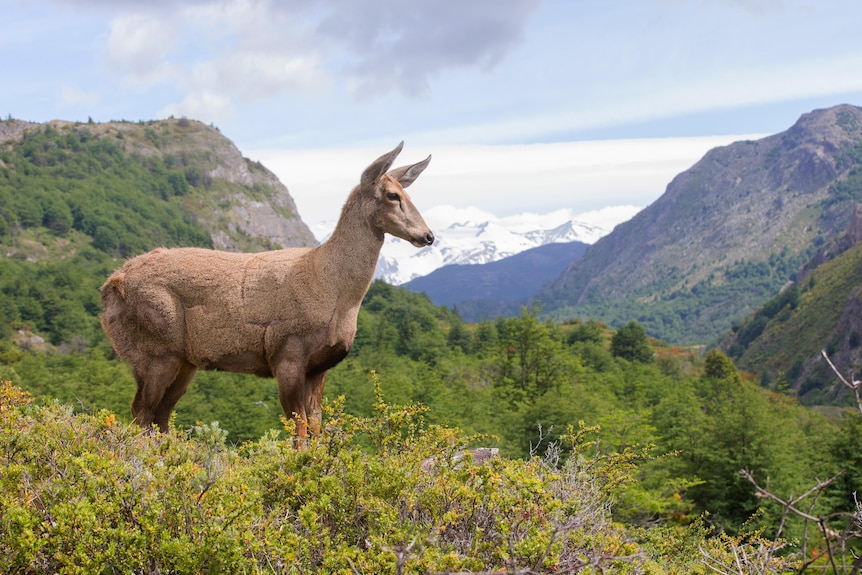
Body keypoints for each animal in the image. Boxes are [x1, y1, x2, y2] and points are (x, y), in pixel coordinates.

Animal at [100, 142, 436, 438]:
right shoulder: (286, 351)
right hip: (154, 347)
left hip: (184, 360)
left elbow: (316, 426)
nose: (428, 235)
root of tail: (110, 286)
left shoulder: (320, 366)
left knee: (160, 416)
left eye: (408, 192)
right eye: (392, 195)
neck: (332, 290)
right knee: (141, 410)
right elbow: (298, 427)